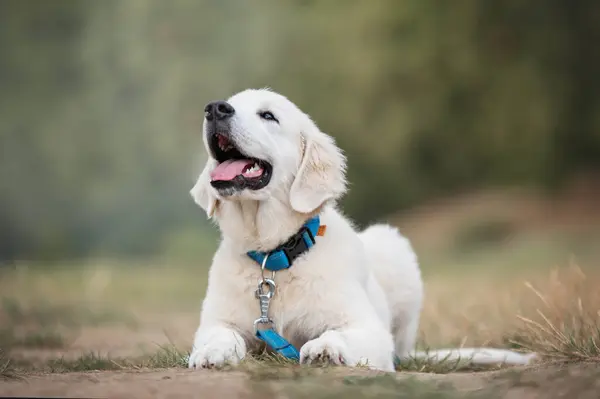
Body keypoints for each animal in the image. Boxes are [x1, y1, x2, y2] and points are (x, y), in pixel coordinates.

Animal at [188, 87, 536, 372]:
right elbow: (220, 335)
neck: (273, 254)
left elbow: (338, 333)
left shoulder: (368, 328)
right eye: (229, 104)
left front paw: (325, 348)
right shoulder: (218, 321)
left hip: (394, 248)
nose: (215, 109)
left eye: (268, 115)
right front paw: (211, 352)